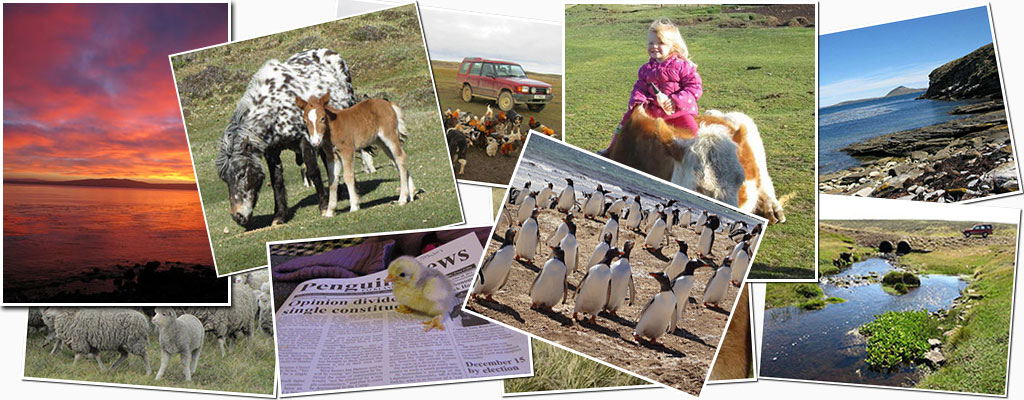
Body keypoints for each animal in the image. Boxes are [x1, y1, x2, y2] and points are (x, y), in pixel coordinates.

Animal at [211, 48, 356, 227]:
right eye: (225, 179)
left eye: (242, 174)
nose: (238, 217)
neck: (276, 106)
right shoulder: (271, 151)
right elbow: (277, 181)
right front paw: (279, 216)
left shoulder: (305, 140)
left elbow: (313, 171)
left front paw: (323, 206)